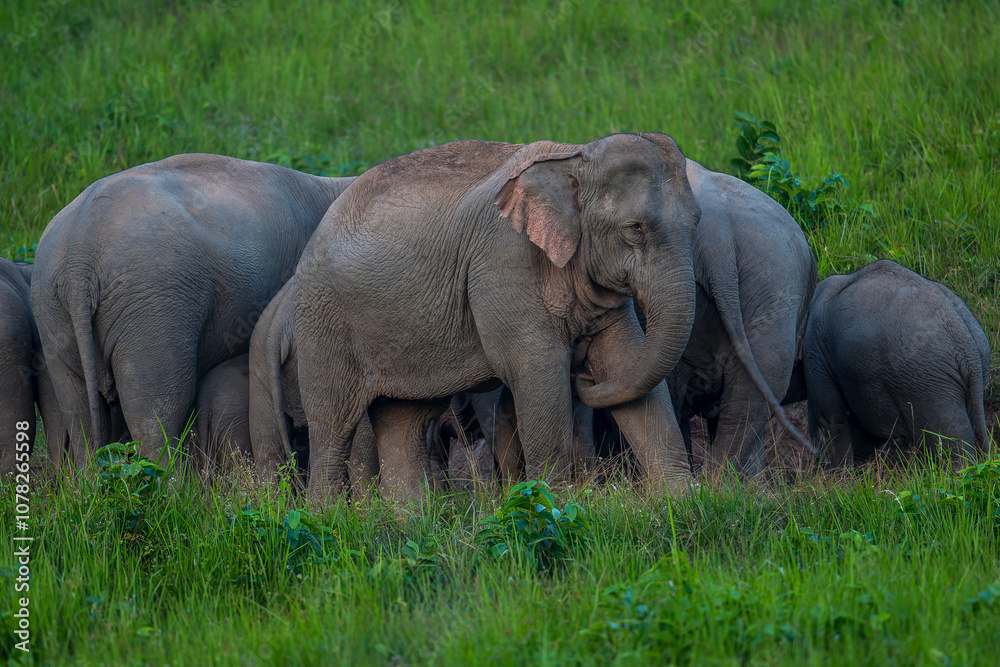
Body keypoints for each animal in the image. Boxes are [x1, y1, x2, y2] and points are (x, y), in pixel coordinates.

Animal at [293, 134, 702, 498]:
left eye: (696, 222)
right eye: (635, 228)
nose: (582, 371)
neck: (572, 155)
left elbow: (625, 362)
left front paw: (682, 502)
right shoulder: (502, 258)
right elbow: (537, 369)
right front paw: (554, 504)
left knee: (402, 422)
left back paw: (409, 523)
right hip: (323, 318)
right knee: (332, 427)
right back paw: (329, 515)